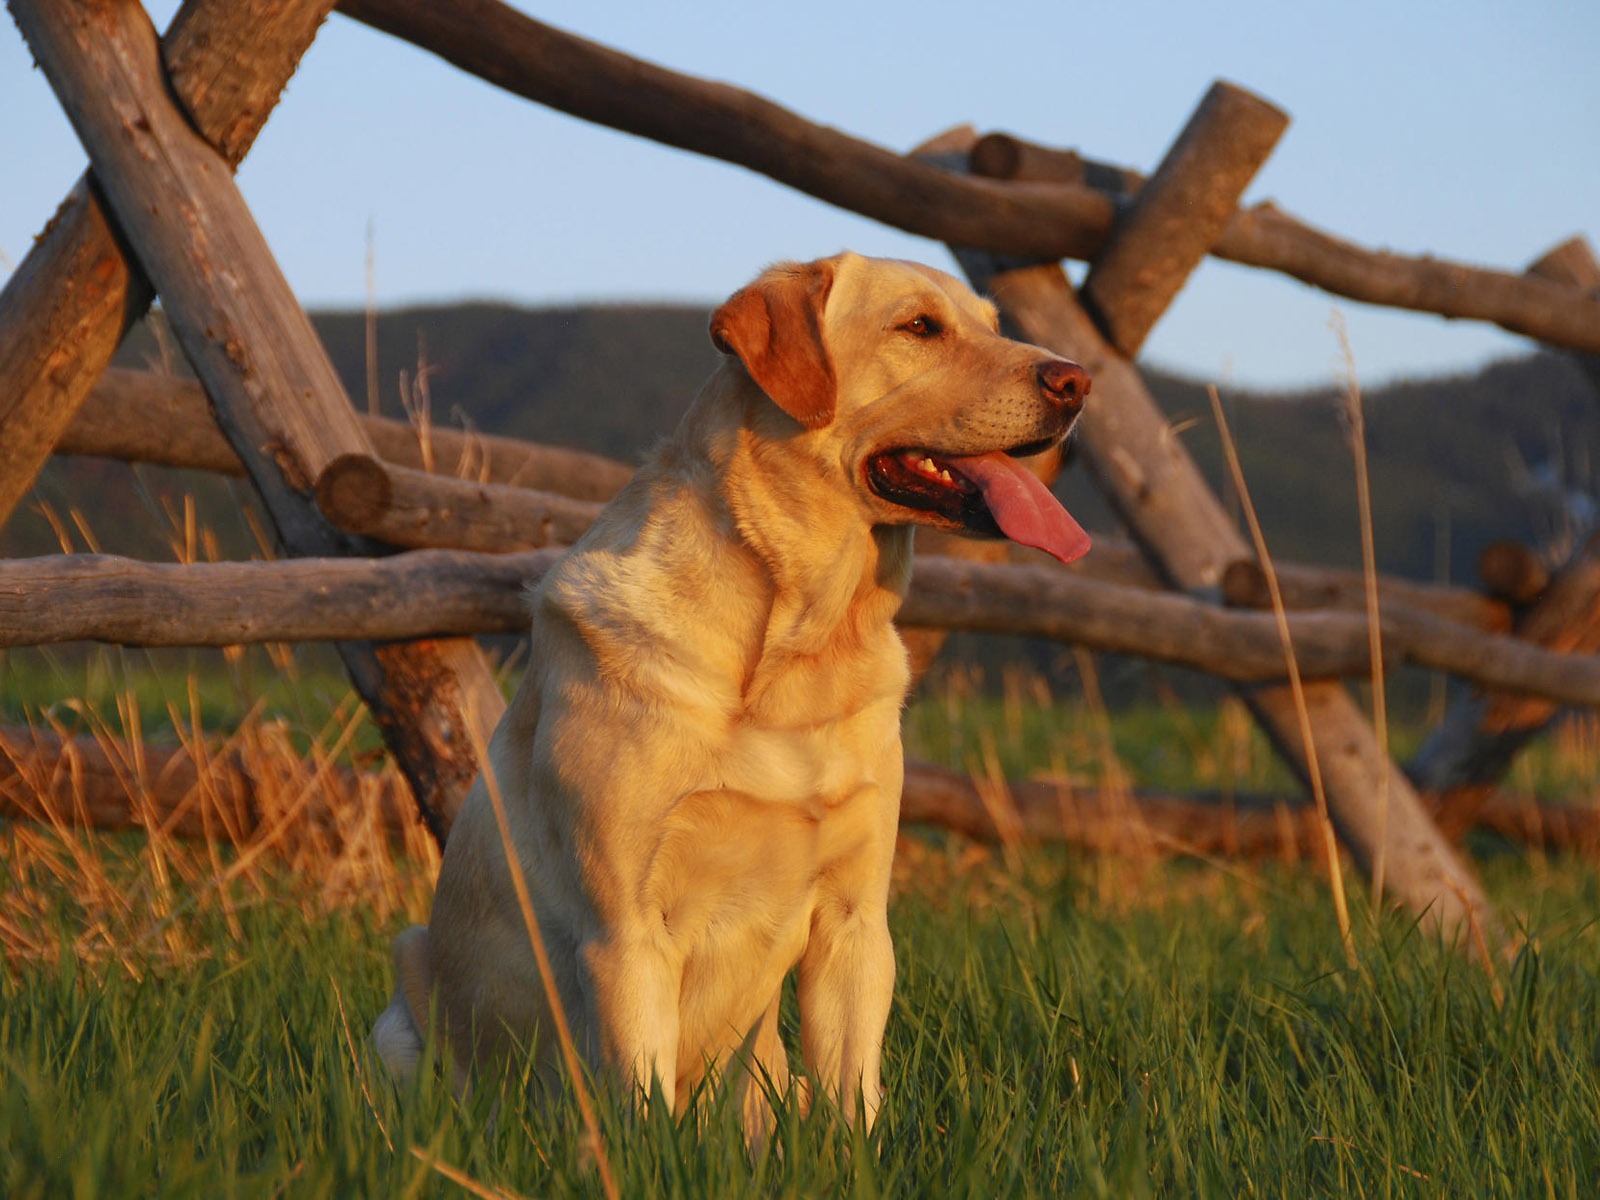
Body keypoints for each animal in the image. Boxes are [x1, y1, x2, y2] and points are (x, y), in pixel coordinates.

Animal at [369, 249, 1094, 1132]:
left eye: (994, 324)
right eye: (920, 326)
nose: (1077, 381)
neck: (798, 646)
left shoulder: (855, 921)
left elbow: (855, 1103)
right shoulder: (626, 932)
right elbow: (643, 1110)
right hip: (404, 1003)